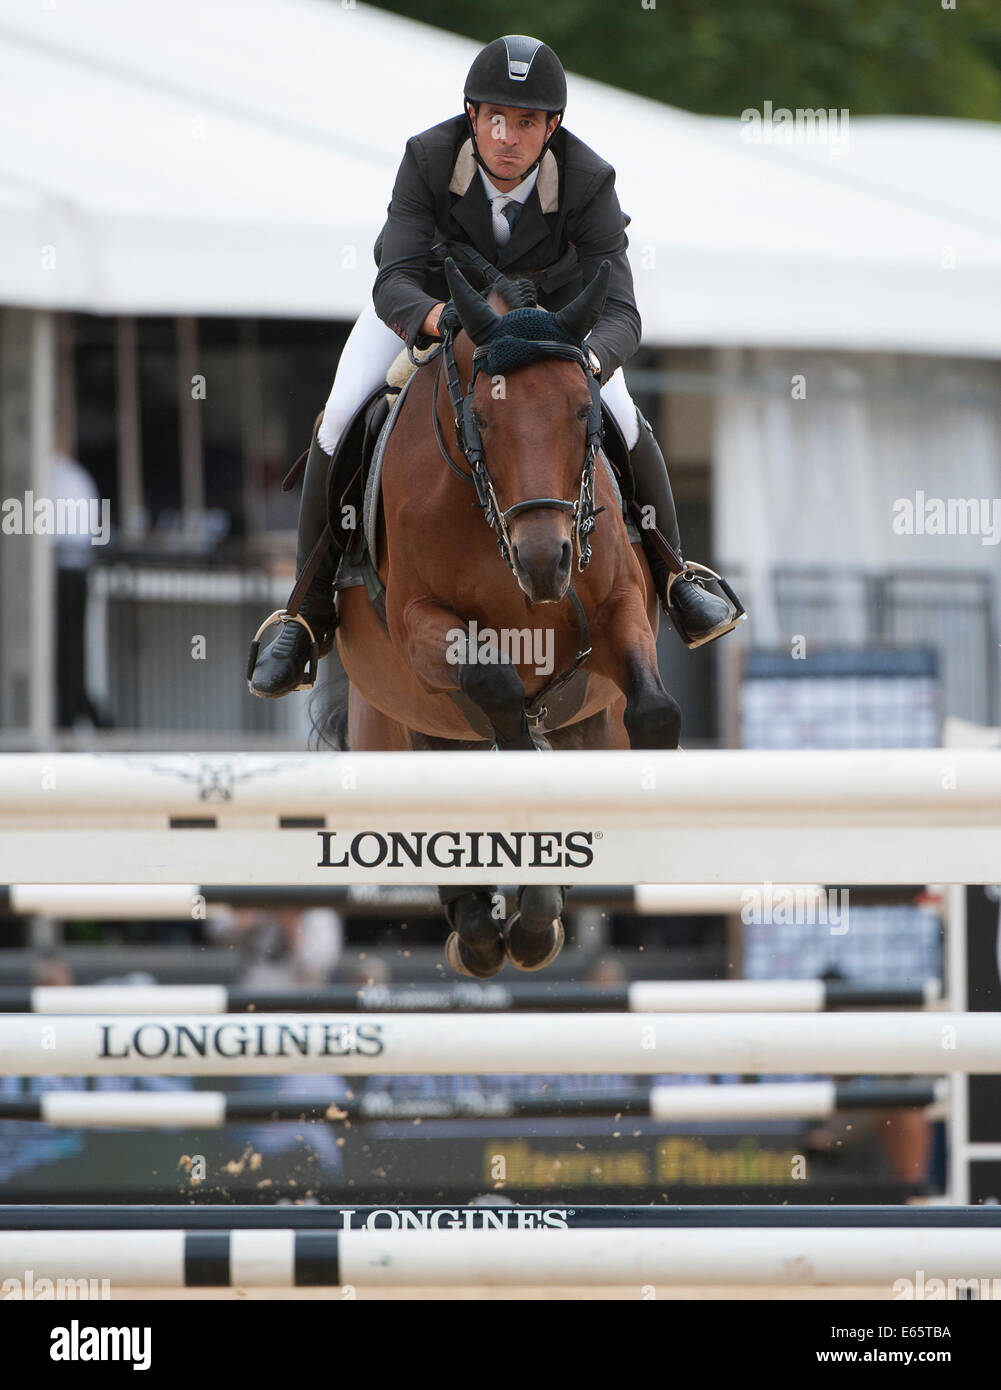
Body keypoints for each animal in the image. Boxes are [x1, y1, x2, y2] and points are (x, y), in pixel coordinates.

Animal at [332, 258, 684, 978]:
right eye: (484, 420)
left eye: (582, 410)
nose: (545, 561)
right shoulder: (418, 624)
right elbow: (494, 685)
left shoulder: (616, 612)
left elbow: (655, 713)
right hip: (400, 725)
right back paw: (480, 930)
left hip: (581, 716)